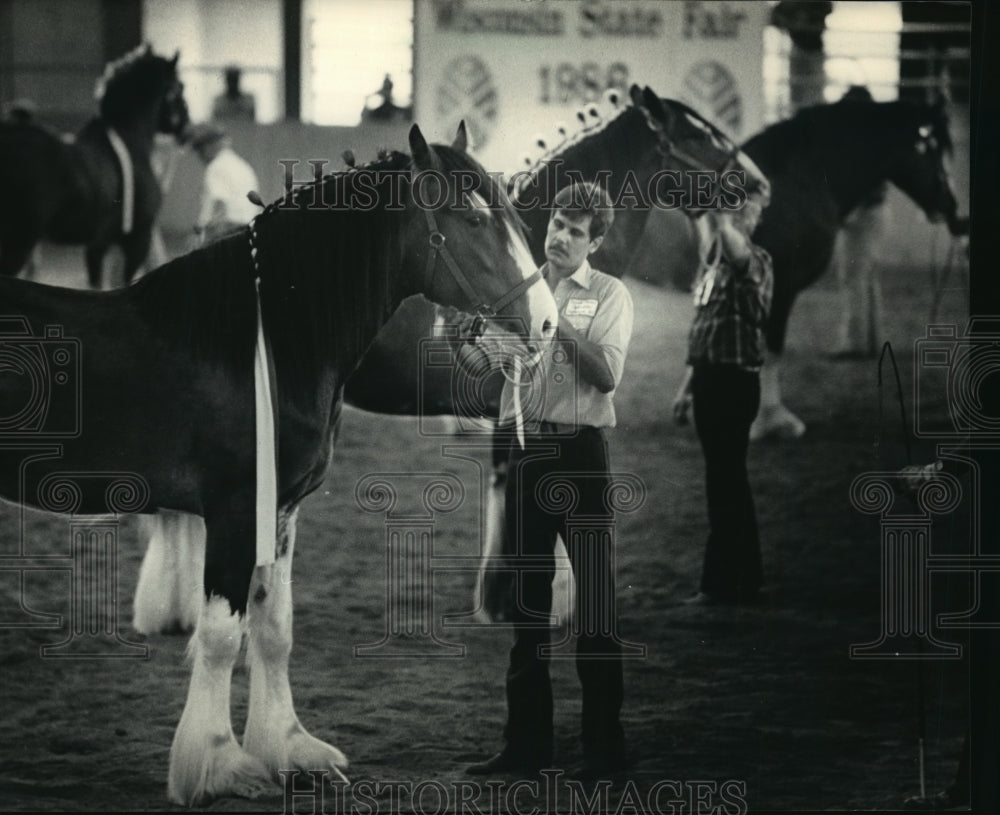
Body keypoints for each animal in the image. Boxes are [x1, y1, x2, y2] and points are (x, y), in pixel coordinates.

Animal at [0, 43, 189, 290]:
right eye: (179, 88)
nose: (186, 127)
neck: (130, 139)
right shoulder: (137, 240)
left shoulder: (98, 245)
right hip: (18, 243)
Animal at [0, 124, 564, 808]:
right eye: (474, 218)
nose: (547, 322)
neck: (269, 342)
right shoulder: (235, 510)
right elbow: (222, 635)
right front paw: (218, 764)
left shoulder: (282, 508)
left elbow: (274, 627)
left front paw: (289, 748)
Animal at [628, 95, 964, 444]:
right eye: (931, 149)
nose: (951, 208)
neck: (801, 178)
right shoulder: (780, 288)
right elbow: (771, 350)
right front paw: (771, 421)